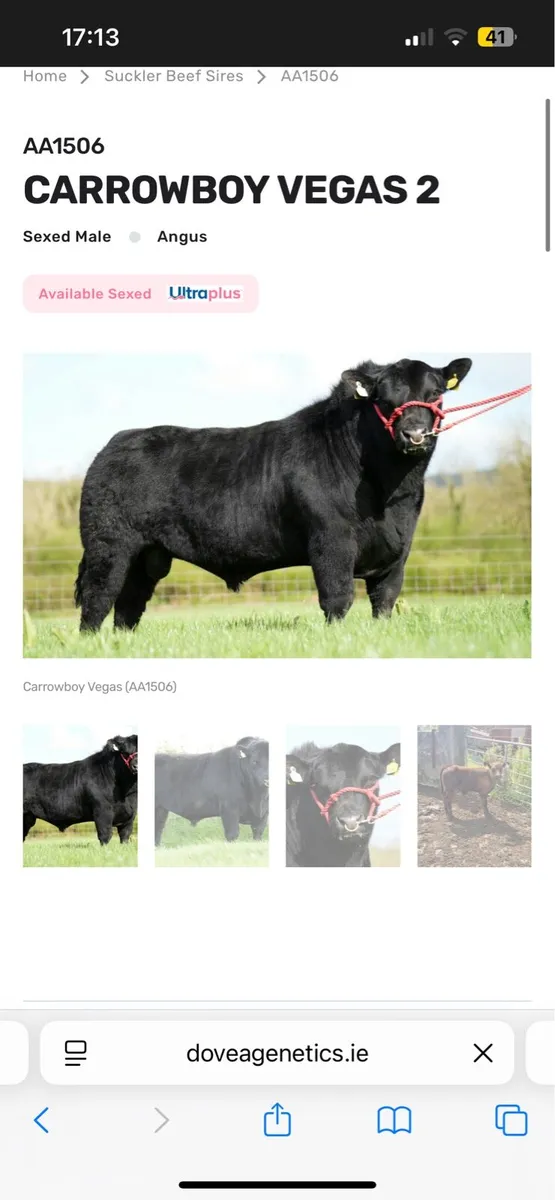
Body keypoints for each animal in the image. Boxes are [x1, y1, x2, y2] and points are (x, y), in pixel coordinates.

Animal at [75, 355, 472, 631]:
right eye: (384, 398)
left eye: (435, 393)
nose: (414, 434)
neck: (390, 495)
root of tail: (117, 442)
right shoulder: (331, 541)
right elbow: (337, 598)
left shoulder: (399, 549)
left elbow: (385, 601)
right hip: (108, 546)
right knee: (97, 599)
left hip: (147, 556)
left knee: (128, 607)